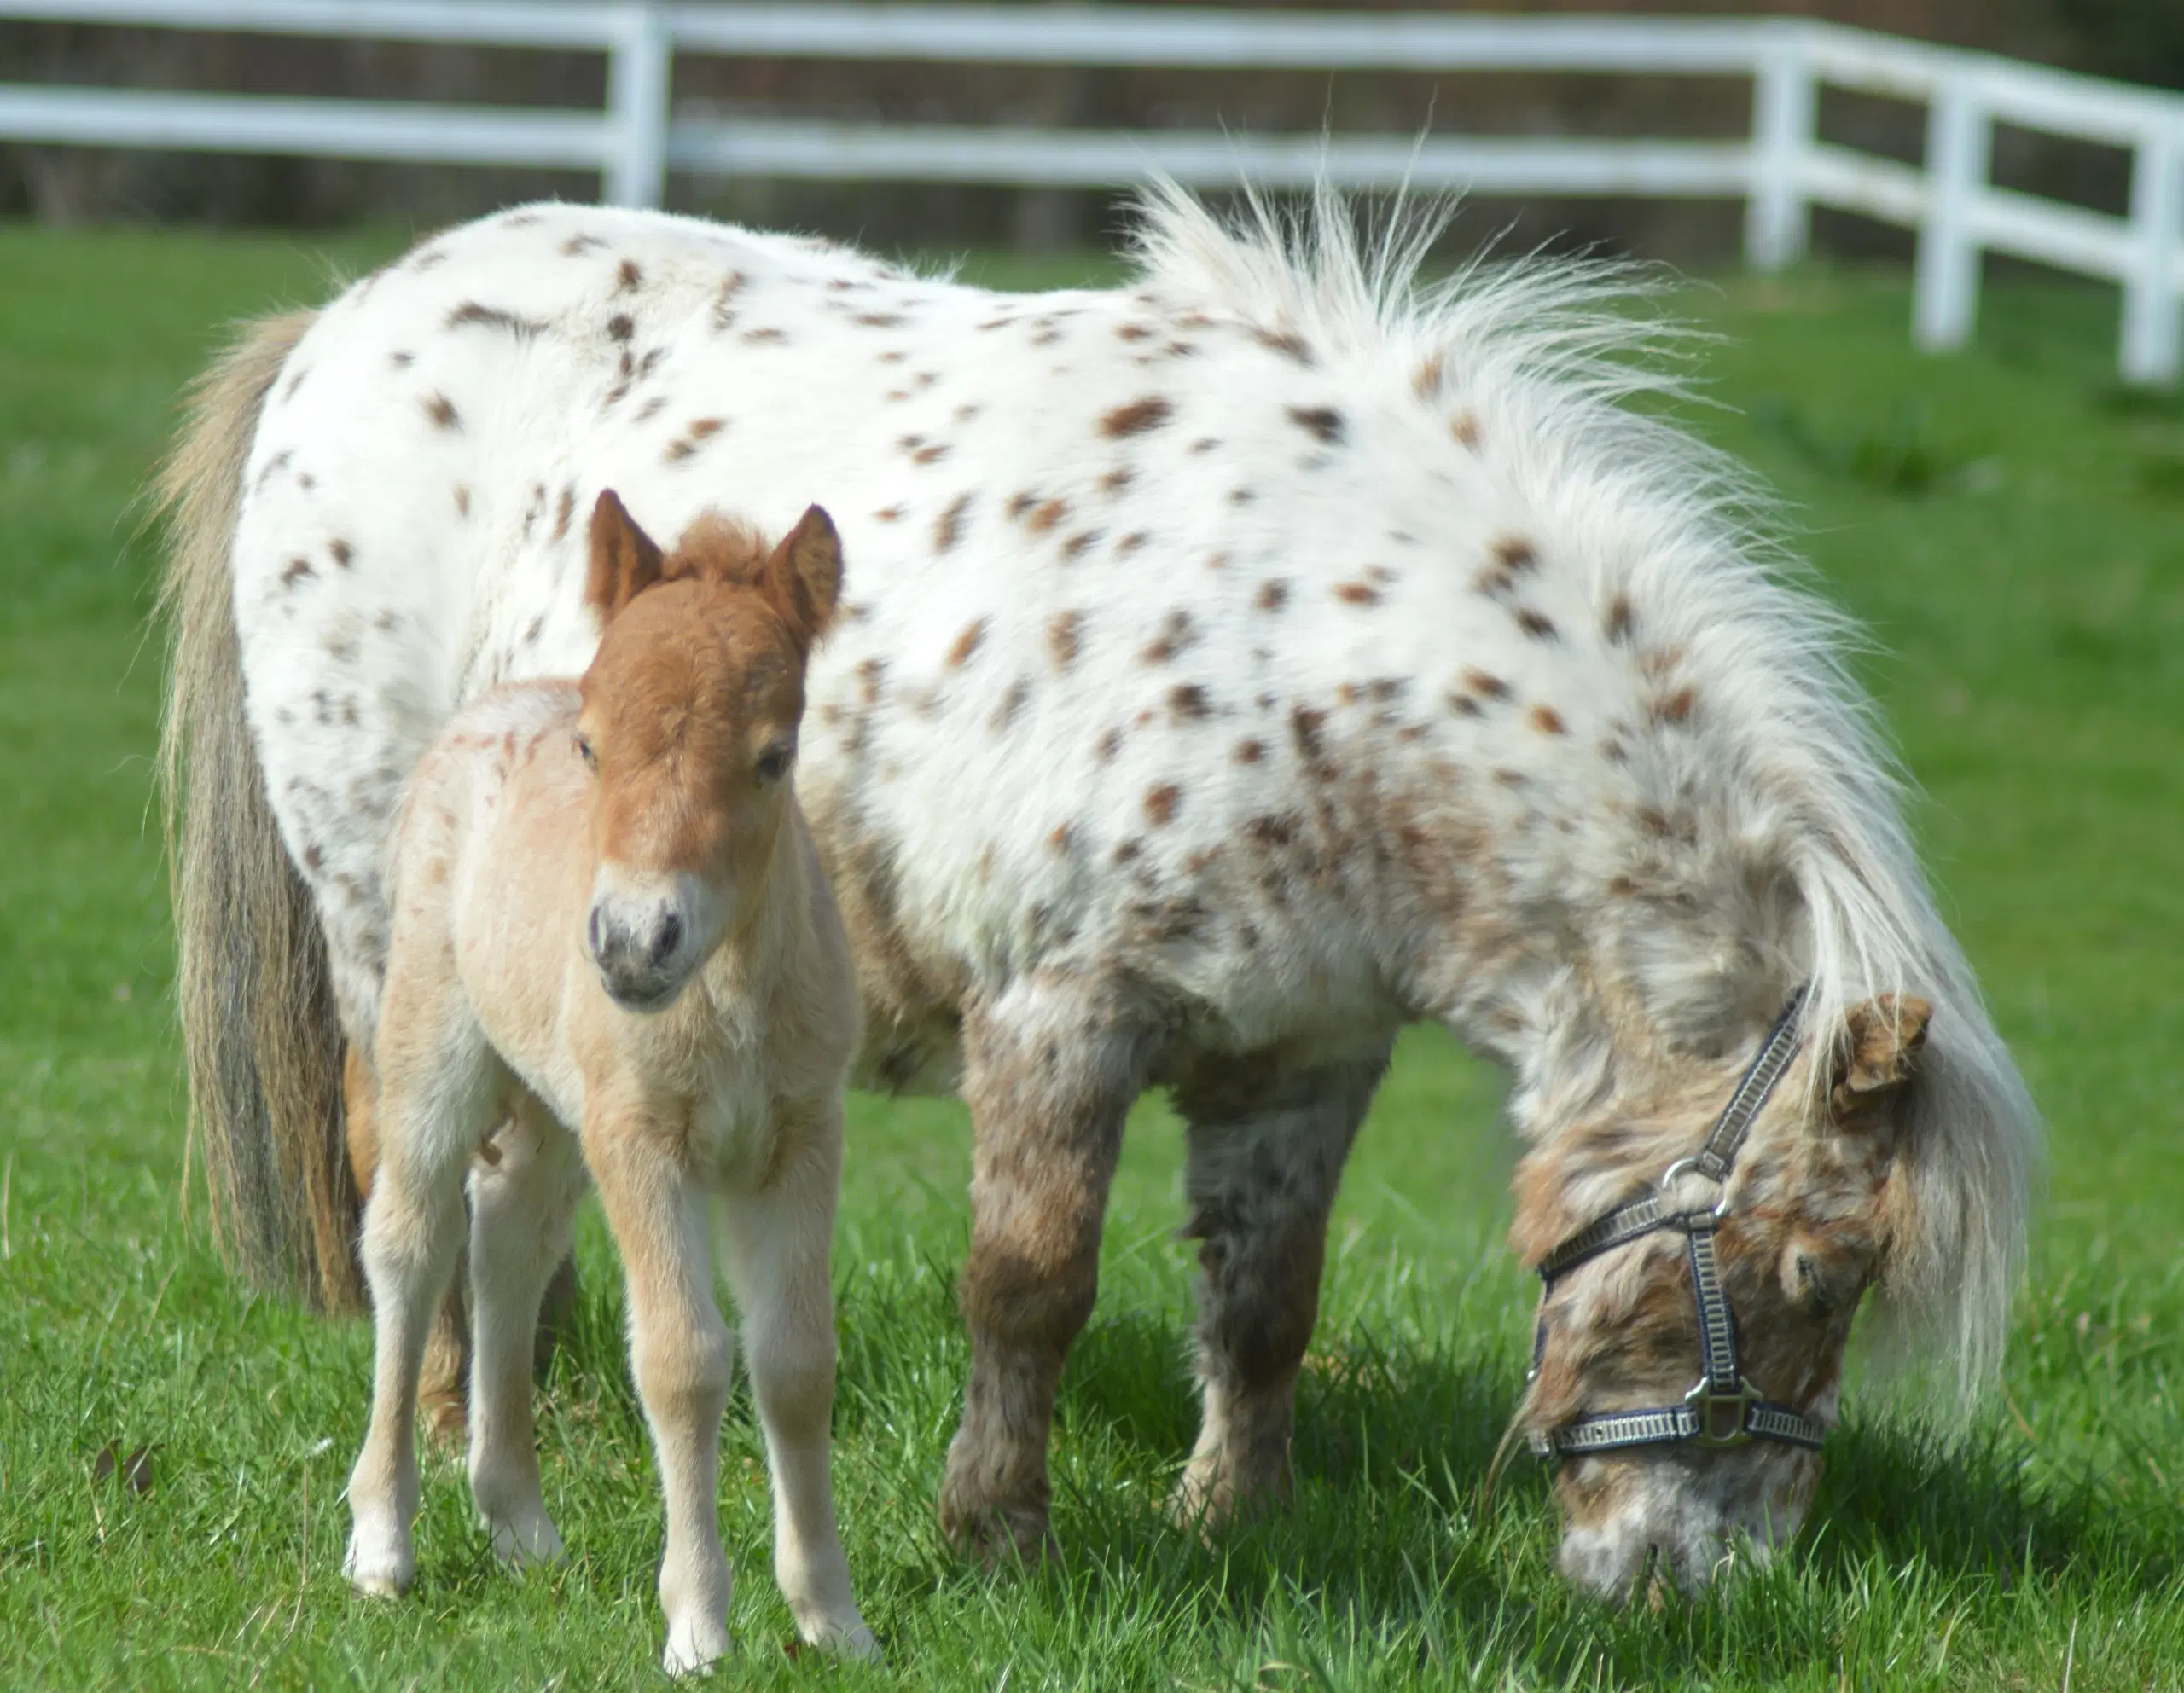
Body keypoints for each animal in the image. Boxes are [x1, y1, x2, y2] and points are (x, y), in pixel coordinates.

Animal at [340, 496, 868, 1678]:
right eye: (591, 747)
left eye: (774, 756)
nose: (630, 943)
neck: (726, 995)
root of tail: (488, 705)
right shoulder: (641, 1137)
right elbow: (681, 1358)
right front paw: (700, 1626)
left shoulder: (801, 1138)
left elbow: (795, 1360)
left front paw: (832, 1618)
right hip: (434, 1052)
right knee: (409, 1241)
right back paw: (383, 1541)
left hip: (551, 1106)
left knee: (507, 1240)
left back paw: (518, 1522)